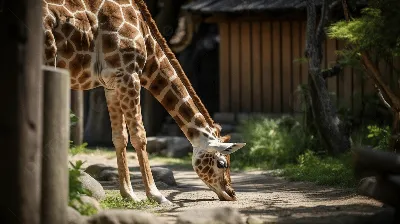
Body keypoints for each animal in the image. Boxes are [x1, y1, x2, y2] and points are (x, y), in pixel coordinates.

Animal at [42, 0, 245, 204]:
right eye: (222, 163)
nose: (231, 194)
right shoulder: (129, 75)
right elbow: (139, 135)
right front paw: (156, 195)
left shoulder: (112, 85)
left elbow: (120, 137)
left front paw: (129, 194)